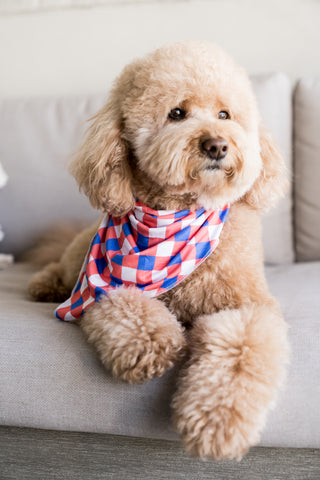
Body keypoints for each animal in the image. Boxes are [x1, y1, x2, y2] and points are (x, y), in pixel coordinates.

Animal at [29, 42, 290, 462]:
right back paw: (43, 285)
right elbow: (126, 305)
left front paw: (218, 421)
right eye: (177, 113)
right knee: (58, 266)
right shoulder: (98, 289)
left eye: (225, 114)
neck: (176, 213)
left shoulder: (250, 305)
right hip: (76, 262)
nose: (217, 144)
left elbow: (242, 343)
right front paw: (154, 343)